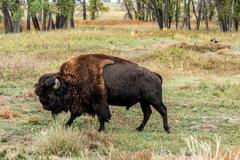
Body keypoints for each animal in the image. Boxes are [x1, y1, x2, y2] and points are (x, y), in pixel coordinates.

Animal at [35, 54, 171, 133]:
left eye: (51, 94)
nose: (44, 106)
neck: (72, 80)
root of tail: (154, 74)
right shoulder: (83, 104)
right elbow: (74, 115)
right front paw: (66, 125)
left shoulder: (98, 102)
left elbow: (101, 116)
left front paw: (100, 130)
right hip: (144, 101)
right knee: (147, 113)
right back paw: (139, 128)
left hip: (154, 100)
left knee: (163, 111)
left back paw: (167, 129)